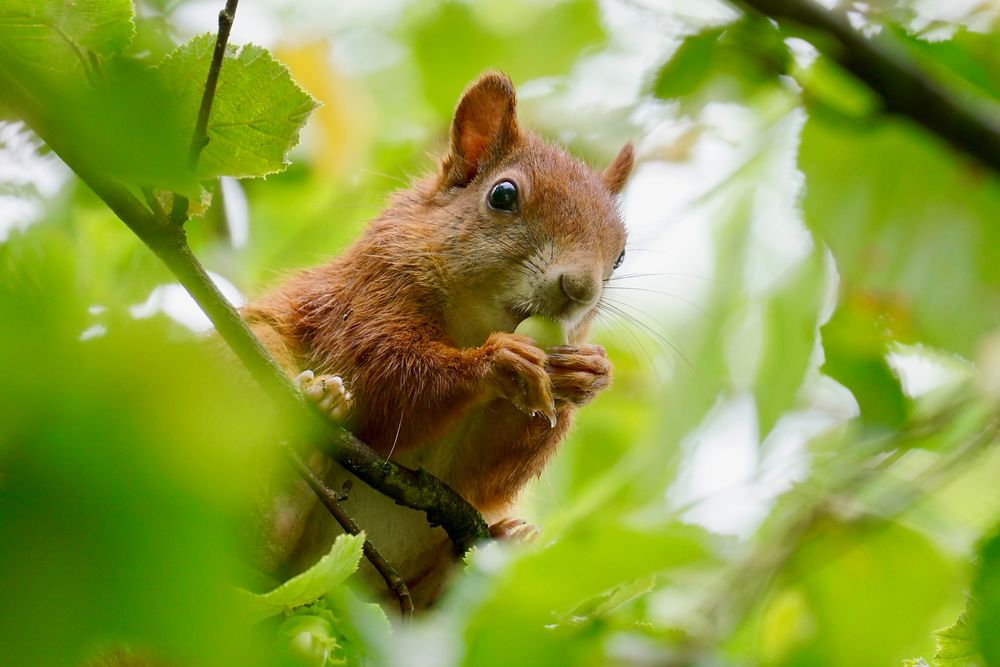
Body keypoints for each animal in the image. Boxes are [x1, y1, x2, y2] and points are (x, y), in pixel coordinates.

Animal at [242, 72, 632, 604]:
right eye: (502, 195)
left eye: (621, 254)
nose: (580, 289)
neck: (474, 322)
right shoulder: (372, 287)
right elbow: (388, 380)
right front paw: (496, 362)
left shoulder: (474, 465)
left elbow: (482, 475)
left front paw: (585, 374)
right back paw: (311, 422)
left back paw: (504, 544)